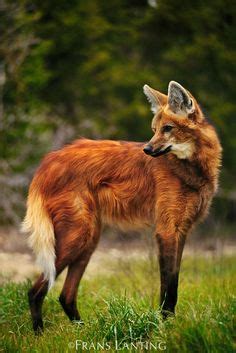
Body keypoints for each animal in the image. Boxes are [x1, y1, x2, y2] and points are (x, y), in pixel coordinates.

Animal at [21, 81, 221, 332]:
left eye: (167, 128)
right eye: (154, 129)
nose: (147, 149)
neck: (191, 169)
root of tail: (48, 161)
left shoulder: (182, 230)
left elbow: (174, 280)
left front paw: (169, 323)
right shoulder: (166, 230)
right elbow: (168, 286)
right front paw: (165, 326)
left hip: (89, 240)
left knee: (65, 295)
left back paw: (85, 329)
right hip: (77, 236)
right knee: (35, 290)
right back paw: (40, 333)